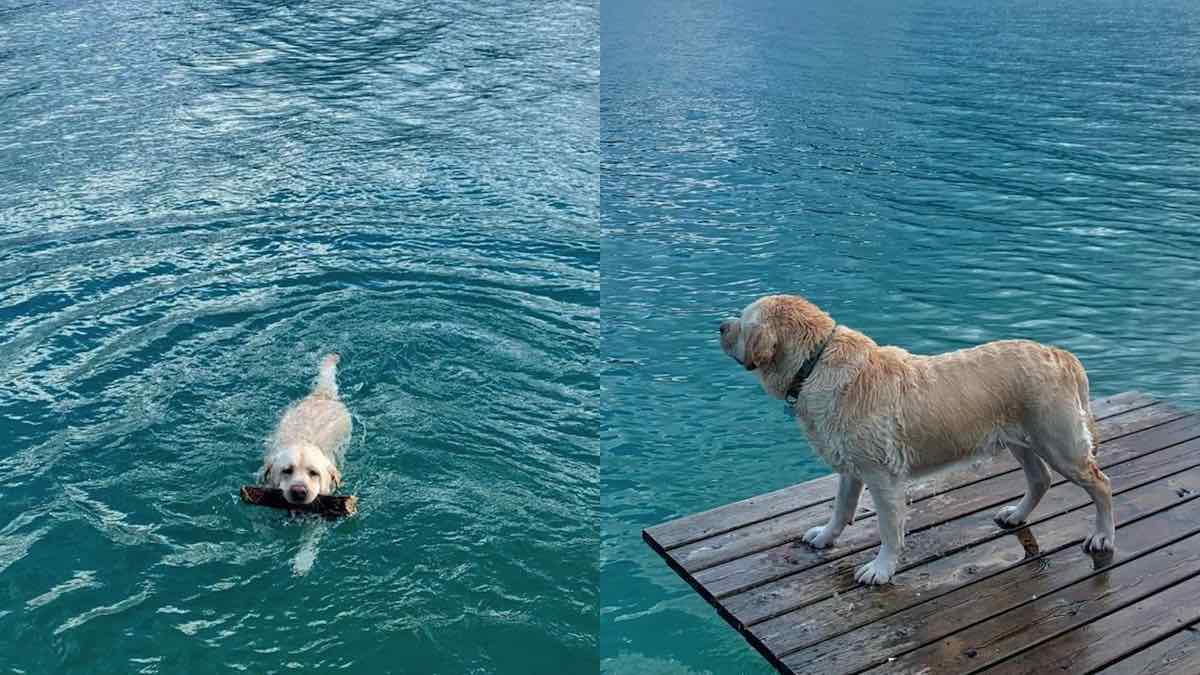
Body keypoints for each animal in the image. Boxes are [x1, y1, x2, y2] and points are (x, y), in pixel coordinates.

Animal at [710, 294, 1113, 583]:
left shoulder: (882, 476)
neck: (814, 364)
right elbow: (841, 508)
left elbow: (889, 529)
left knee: (1101, 484)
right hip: (1020, 439)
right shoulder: (850, 467)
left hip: (1059, 443)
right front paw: (826, 537)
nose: (719, 325)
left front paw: (880, 569)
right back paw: (1016, 514)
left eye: (743, 322)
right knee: (1040, 479)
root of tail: (1061, 353)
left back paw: (1102, 536)